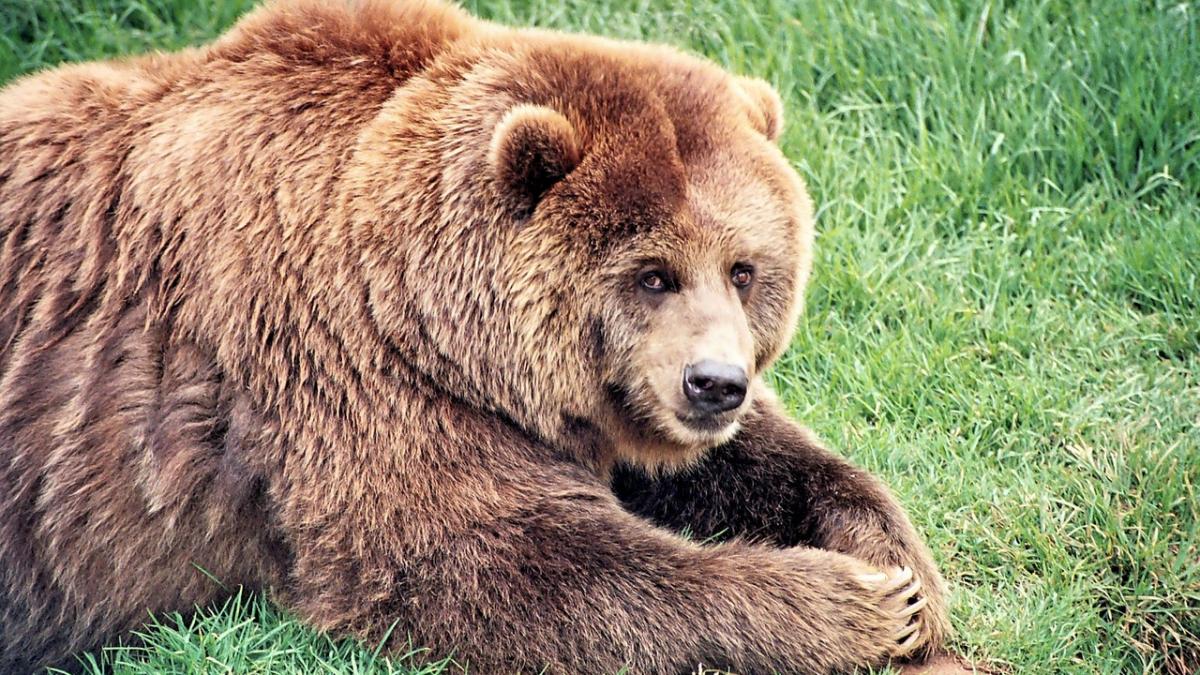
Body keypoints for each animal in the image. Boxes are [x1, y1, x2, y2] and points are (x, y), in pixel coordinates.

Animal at [0, 0, 950, 672]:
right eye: (653, 272)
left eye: (744, 268)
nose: (714, 382)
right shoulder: (340, 367)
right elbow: (496, 559)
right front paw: (856, 603)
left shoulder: (592, 399)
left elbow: (750, 462)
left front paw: (901, 570)